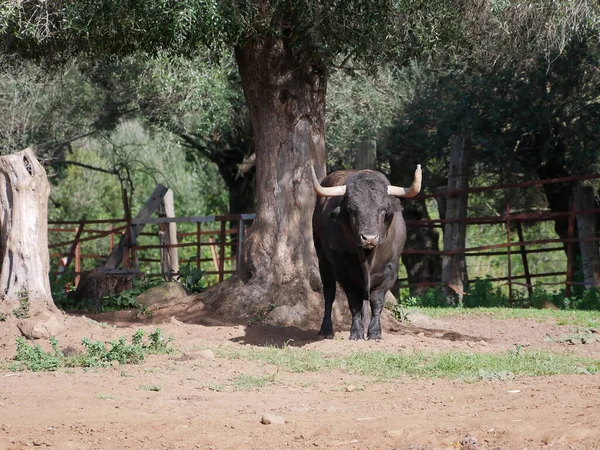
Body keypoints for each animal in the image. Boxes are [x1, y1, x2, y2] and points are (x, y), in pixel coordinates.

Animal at [310, 167, 422, 340]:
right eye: (351, 210)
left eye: (383, 209)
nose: (369, 238)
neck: (368, 257)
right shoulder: (343, 271)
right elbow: (354, 301)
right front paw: (356, 332)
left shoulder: (390, 271)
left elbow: (376, 301)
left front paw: (374, 332)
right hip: (323, 259)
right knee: (329, 292)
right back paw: (326, 329)